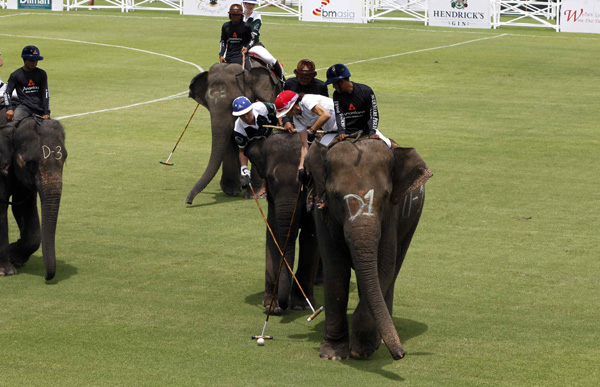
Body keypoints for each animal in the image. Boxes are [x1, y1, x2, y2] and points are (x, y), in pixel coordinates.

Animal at [0, 116, 68, 280]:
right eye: (31, 164)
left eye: (64, 159)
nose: (46, 277)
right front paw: (6, 271)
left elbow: (24, 207)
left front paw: (15, 257)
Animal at [185, 62, 284, 205]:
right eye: (207, 103)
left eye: (233, 103)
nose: (188, 201)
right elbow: (229, 141)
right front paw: (231, 191)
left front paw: (255, 195)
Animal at [243, 133, 318, 316]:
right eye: (270, 178)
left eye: (304, 179)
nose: (283, 307)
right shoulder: (272, 203)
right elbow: (274, 235)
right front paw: (272, 305)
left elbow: (310, 236)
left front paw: (301, 305)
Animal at [304, 139, 432, 360]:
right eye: (335, 195)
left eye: (386, 195)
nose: (401, 354)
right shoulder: (323, 213)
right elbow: (335, 268)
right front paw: (332, 354)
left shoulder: (392, 214)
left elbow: (385, 265)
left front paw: (362, 350)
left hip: (413, 219)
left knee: (396, 265)